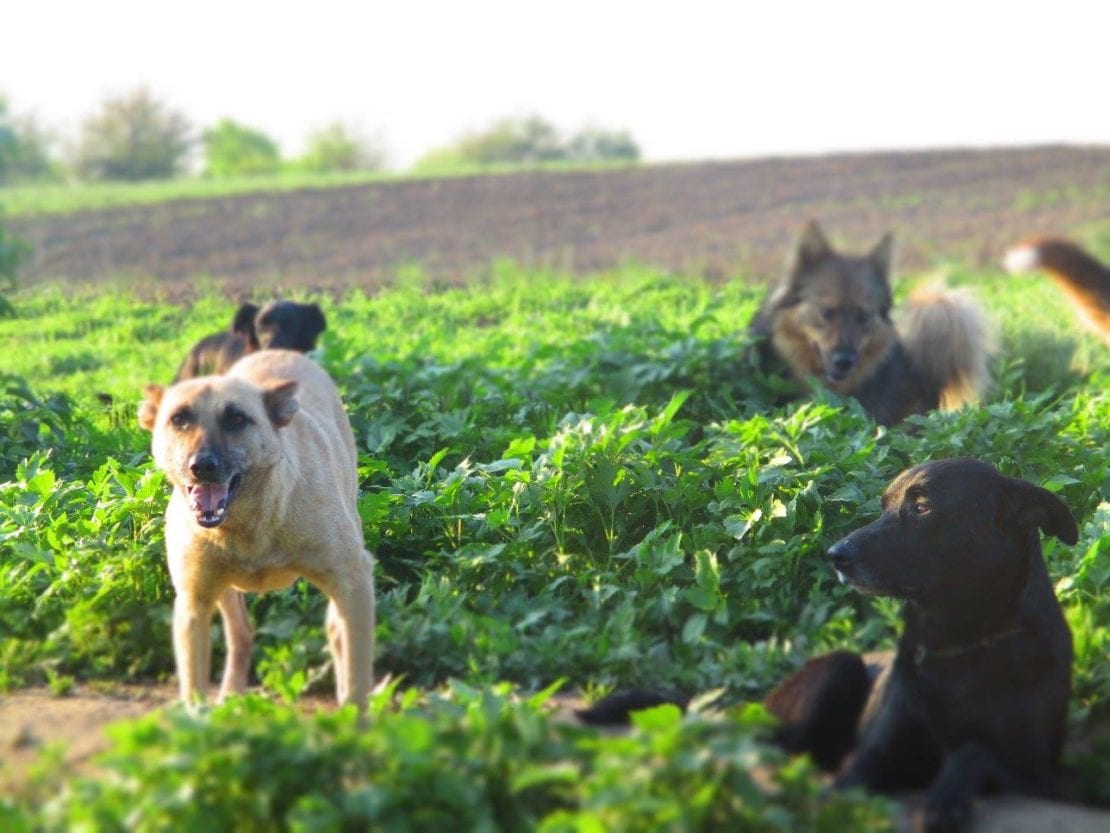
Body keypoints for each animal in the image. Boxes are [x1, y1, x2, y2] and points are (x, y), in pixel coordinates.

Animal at [137, 348, 372, 706]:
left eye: (237, 419)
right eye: (179, 419)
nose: (202, 466)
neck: (247, 525)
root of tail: (281, 351)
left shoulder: (353, 581)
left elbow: (358, 676)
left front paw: (353, 715)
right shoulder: (193, 603)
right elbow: (193, 687)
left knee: (336, 634)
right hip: (221, 588)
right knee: (241, 634)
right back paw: (231, 697)